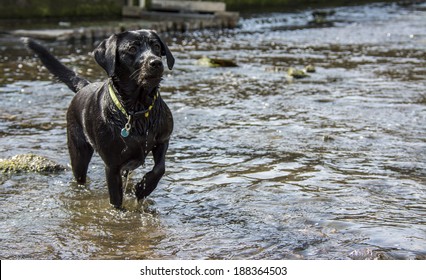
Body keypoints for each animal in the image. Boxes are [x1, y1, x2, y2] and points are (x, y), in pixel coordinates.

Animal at [24, 30, 174, 209]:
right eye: (132, 49)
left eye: (156, 46)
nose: (156, 62)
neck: (136, 109)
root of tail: (84, 86)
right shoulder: (112, 166)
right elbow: (116, 202)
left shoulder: (163, 139)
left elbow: (160, 168)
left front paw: (143, 188)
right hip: (78, 155)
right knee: (80, 178)